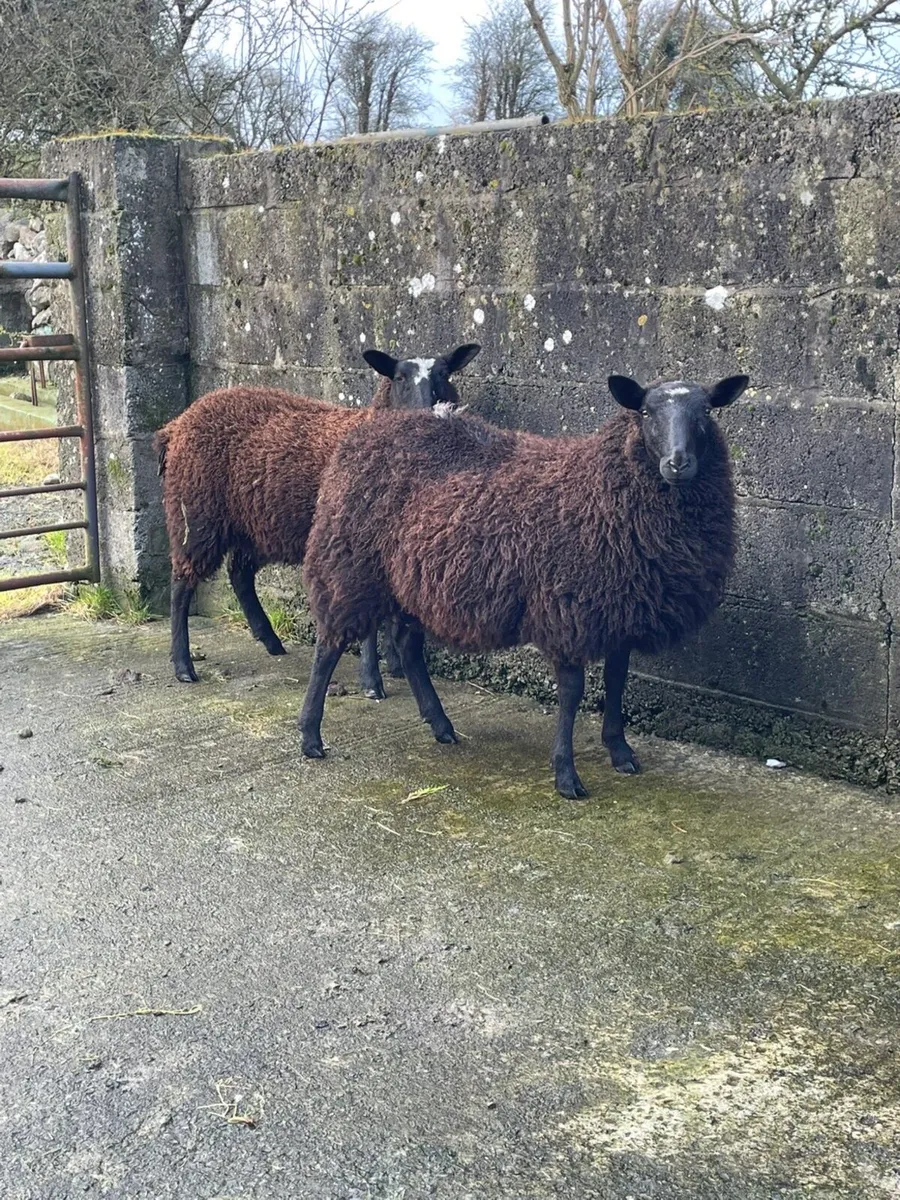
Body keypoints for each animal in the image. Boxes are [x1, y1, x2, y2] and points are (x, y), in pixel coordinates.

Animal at [155, 342, 482, 691]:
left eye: (444, 374)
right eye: (399, 378)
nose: (427, 414)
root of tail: (177, 424)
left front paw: (394, 666)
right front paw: (371, 679)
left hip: (253, 523)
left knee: (239, 574)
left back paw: (270, 641)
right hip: (195, 512)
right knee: (181, 585)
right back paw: (183, 665)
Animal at [297, 372, 749, 798]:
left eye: (706, 412)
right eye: (645, 412)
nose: (678, 463)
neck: (603, 488)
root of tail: (369, 430)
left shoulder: (620, 610)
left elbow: (616, 681)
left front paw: (620, 751)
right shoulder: (566, 609)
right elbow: (572, 693)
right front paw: (566, 775)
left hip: (410, 580)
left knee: (408, 648)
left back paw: (441, 725)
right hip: (350, 564)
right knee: (329, 646)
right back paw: (310, 736)